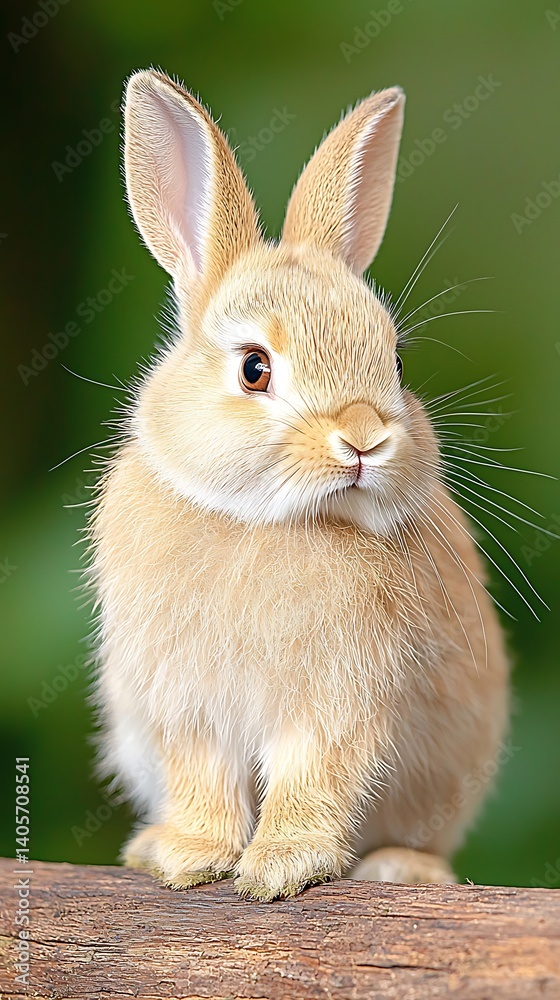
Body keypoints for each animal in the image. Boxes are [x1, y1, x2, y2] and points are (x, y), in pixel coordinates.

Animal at [89, 69, 509, 901]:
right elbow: (205, 777)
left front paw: (282, 866)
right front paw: (192, 859)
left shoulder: (338, 701)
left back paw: (400, 869)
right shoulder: (185, 705)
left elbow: (312, 777)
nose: (364, 440)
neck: (267, 521)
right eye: (255, 368)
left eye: (396, 361)